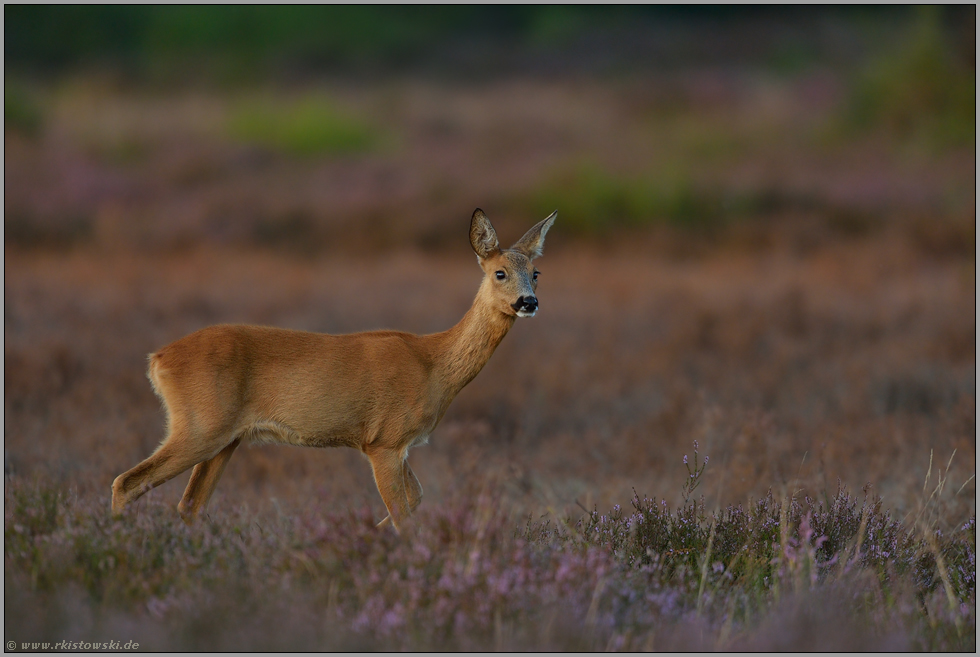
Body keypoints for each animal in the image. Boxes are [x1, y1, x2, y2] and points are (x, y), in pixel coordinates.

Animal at [110, 208, 556, 533]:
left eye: (535, 273)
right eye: (499, 272)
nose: (528, 302)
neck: (433, 364)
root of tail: (158, 358)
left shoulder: (400, 445)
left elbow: (414, 501)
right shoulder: (384, 440)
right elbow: (403, 514)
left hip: (226, 439)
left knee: (189, 504)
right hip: (200, 426)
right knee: (127, 482)